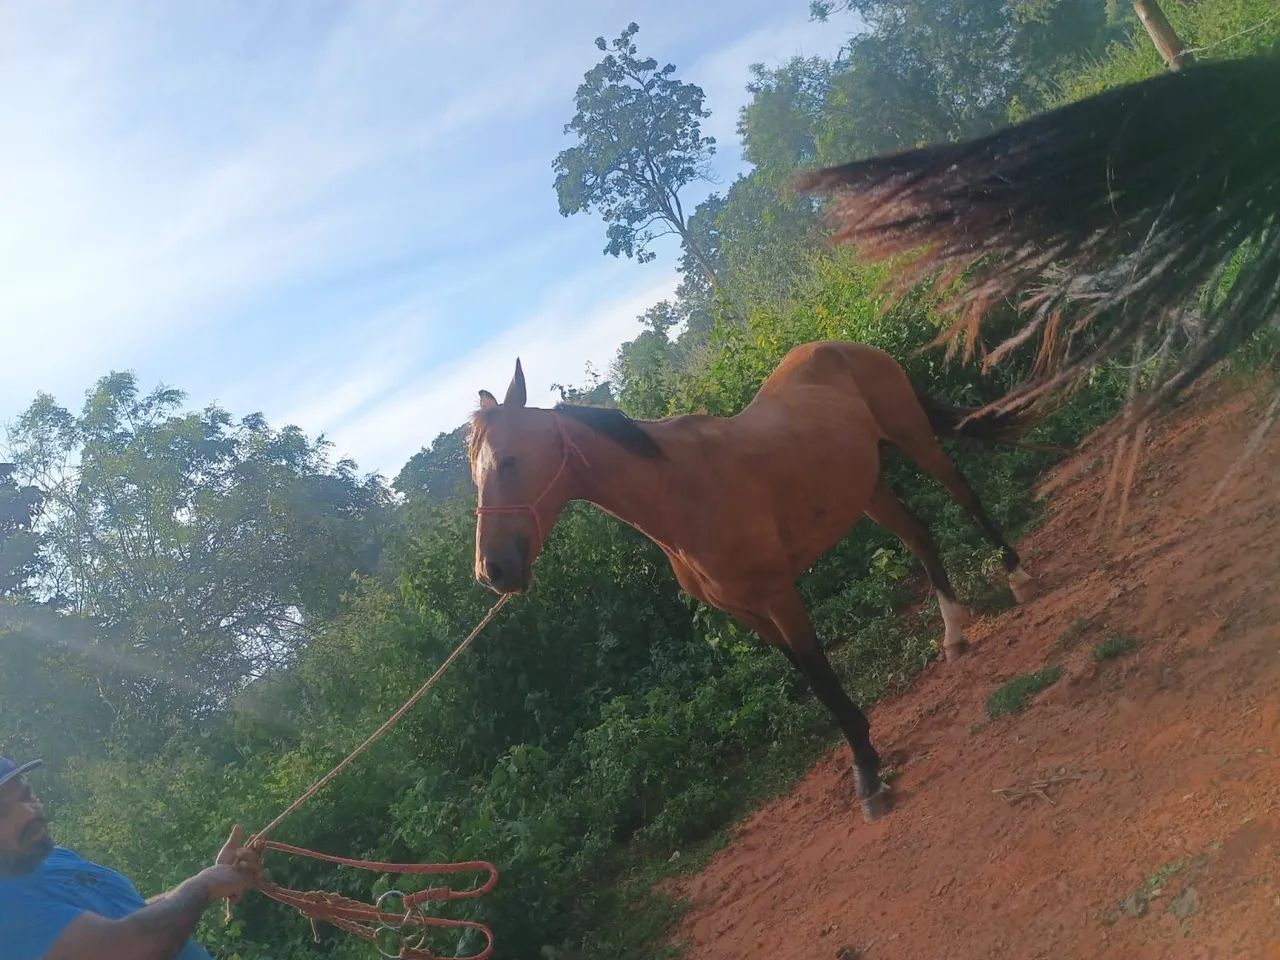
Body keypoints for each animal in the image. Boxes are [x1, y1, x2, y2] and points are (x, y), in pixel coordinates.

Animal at [468, 342, 1037, 820]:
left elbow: (820, 678)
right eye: (476, 474)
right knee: (920, 536)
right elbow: (806, 676)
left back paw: (1017, 575)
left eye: (511, 462)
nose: (493, 571)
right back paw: (954, 633)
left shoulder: (779, 596)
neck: (681, 492)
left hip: (914, 437)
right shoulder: (746, 613)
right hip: (868, 486)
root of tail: (848, 348)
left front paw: (868, 774)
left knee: (967, 499)